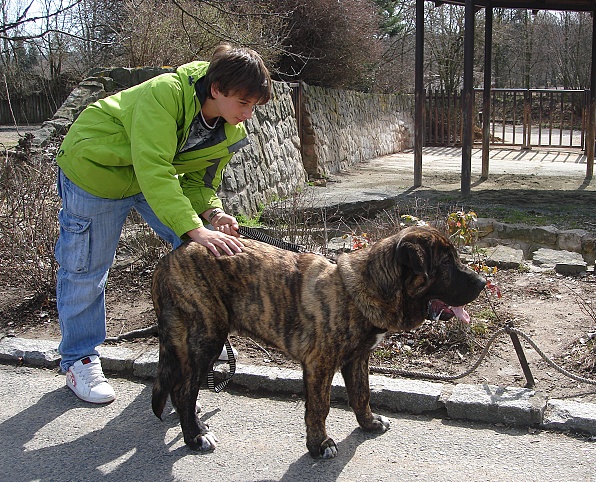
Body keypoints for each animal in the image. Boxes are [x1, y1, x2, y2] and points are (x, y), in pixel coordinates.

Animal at [151, 226, 486, 460]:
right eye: (446, 264)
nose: (483, 283)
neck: (364, 287)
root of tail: (166, 259)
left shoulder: (357, 359)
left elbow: (361, 394)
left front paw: (369, 423)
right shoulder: (319, 365)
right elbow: (319, 408)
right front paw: (319, 445)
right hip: (206, 337)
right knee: (183, 390)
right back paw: (195, 436)